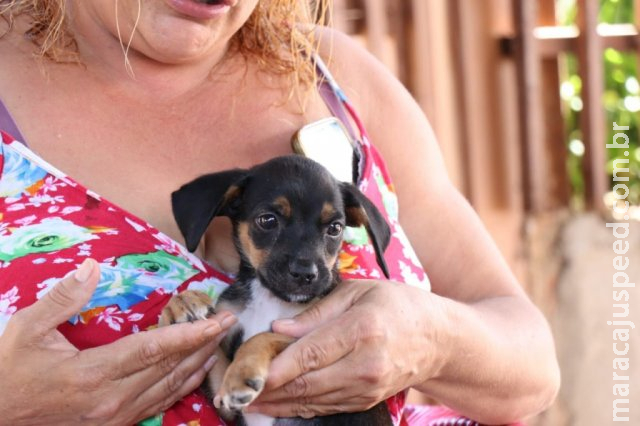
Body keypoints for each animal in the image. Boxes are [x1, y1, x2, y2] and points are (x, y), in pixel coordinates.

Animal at [159, 156, 396, 426]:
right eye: (268, 220)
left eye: (335, 228)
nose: (305, 273)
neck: (270, 298)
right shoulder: (224, 402)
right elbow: (216, 352)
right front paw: (181, 304)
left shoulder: (318, 333)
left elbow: (265, 335)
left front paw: (241, 372)